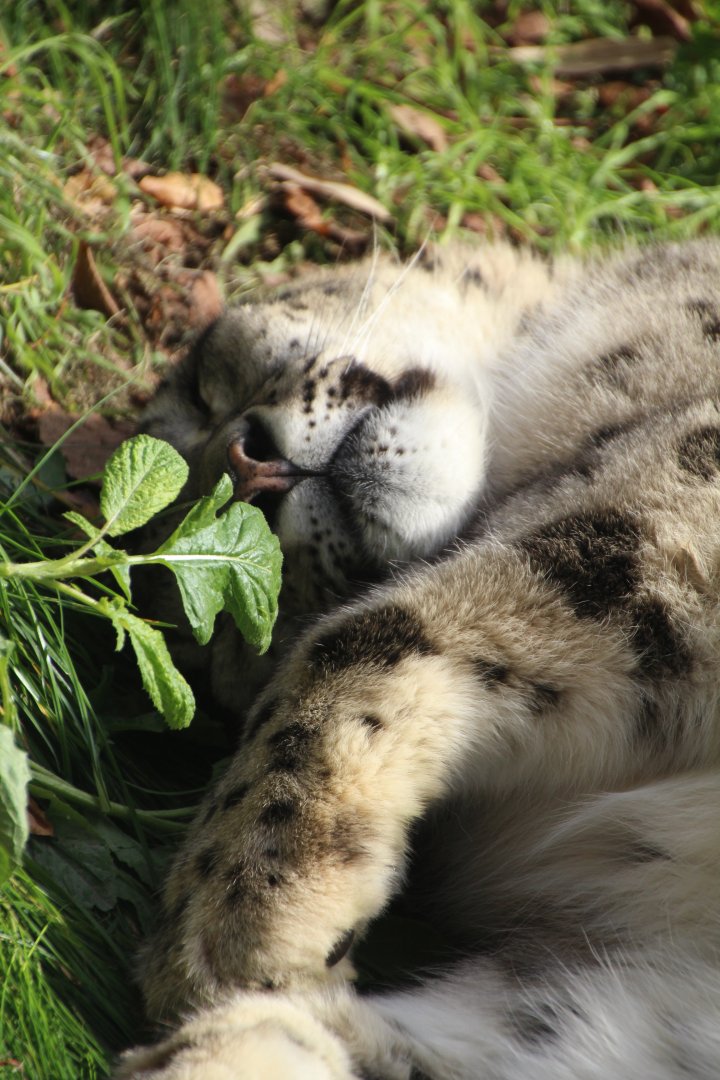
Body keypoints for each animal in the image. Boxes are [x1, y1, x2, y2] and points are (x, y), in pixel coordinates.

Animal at [117, 238, 720, 1079]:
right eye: (220, 634)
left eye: (209, 382)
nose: (248, 466)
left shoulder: (668, 499)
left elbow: (357, 637)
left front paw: (230, 917)